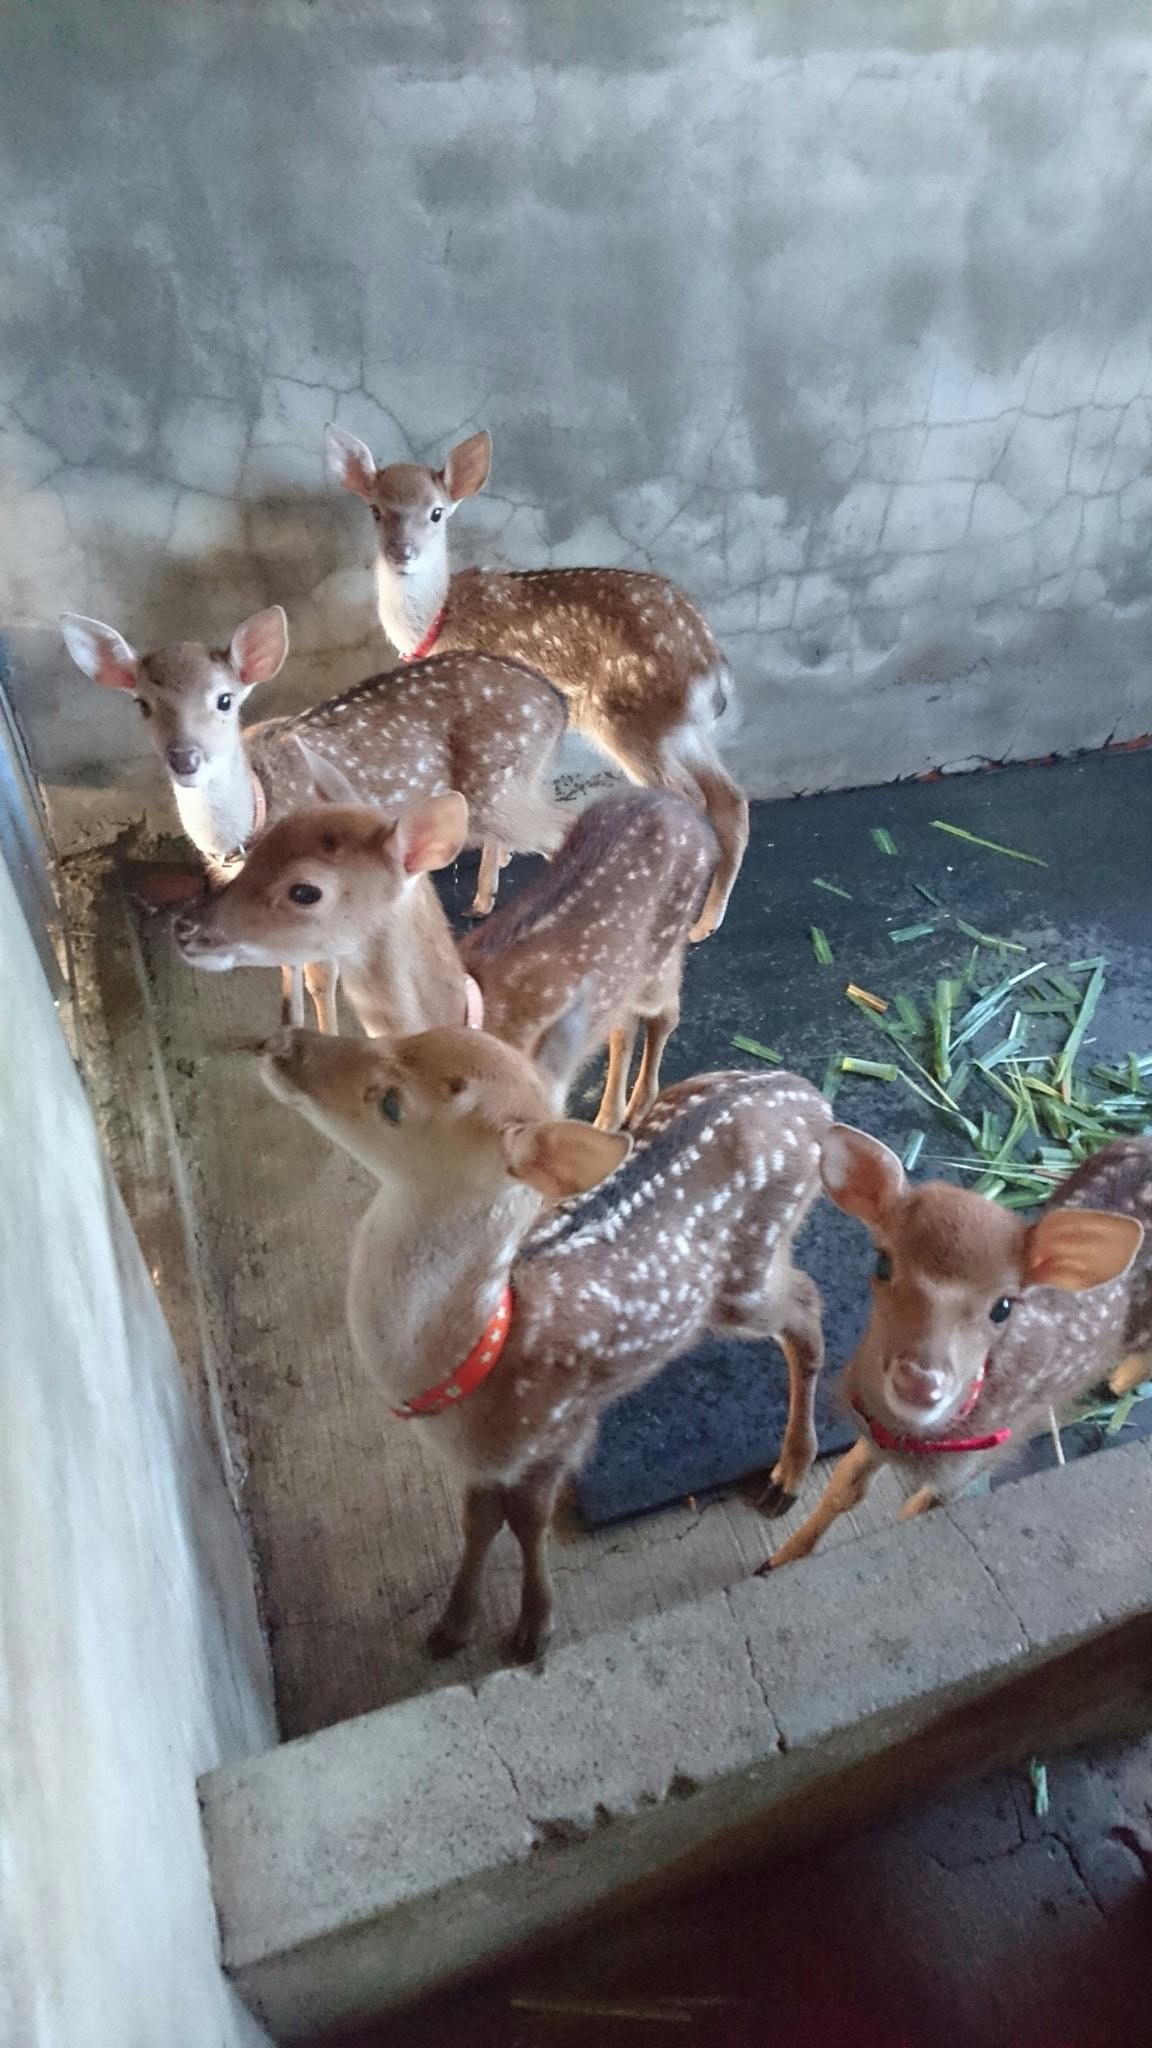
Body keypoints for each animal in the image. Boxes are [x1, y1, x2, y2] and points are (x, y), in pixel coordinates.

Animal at [59, 605, 566, 1030]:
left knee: (560, 828)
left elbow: (319, 978)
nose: (185, 758)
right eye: (142, 704)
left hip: (498, 785)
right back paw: (483, 897)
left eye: (224, 699)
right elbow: (286, 963)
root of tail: (557, 702)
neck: (249, 823)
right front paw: (287, 1025)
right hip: (496, 789)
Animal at [175, 785, 716, 1130]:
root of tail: (688, 812)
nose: (184, 928)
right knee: (622, 1025)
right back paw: (608, 1115)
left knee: (666, 1014)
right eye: (255, 853)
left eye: (305, 891)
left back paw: (638, 1109)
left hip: (665, 950)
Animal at [253, 1015, 832, 1661]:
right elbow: (478, 1523)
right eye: (397, 1036)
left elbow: (528, 1524)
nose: (281, 1043)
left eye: (392, 1104)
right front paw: (451, 1627)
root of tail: (811, 1098)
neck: (480, 1357)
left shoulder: (558, 1431)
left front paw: (532, 1630)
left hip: (747, 1277)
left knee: (805, 1304)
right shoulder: (480, 1465)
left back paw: (786, 1479)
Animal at [323, 422, 749, 944]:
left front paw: (483, 897)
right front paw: (499, 869)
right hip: (683, 730)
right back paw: (706, 923)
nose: (402, 552)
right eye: (376, 510)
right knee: (730, 800)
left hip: (629, 720)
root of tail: (713, 667)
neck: (436, 624)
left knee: (688, 798)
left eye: (436, 512)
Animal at [763, 1126, 1150, 1570]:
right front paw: (780, 1559)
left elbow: (924, 1509)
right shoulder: (875, 1432)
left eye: (1003, 1306)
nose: (919, 1382)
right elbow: (844, 1488)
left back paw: (1119, 1381)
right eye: (883, 1263)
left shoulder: (982, 1456)